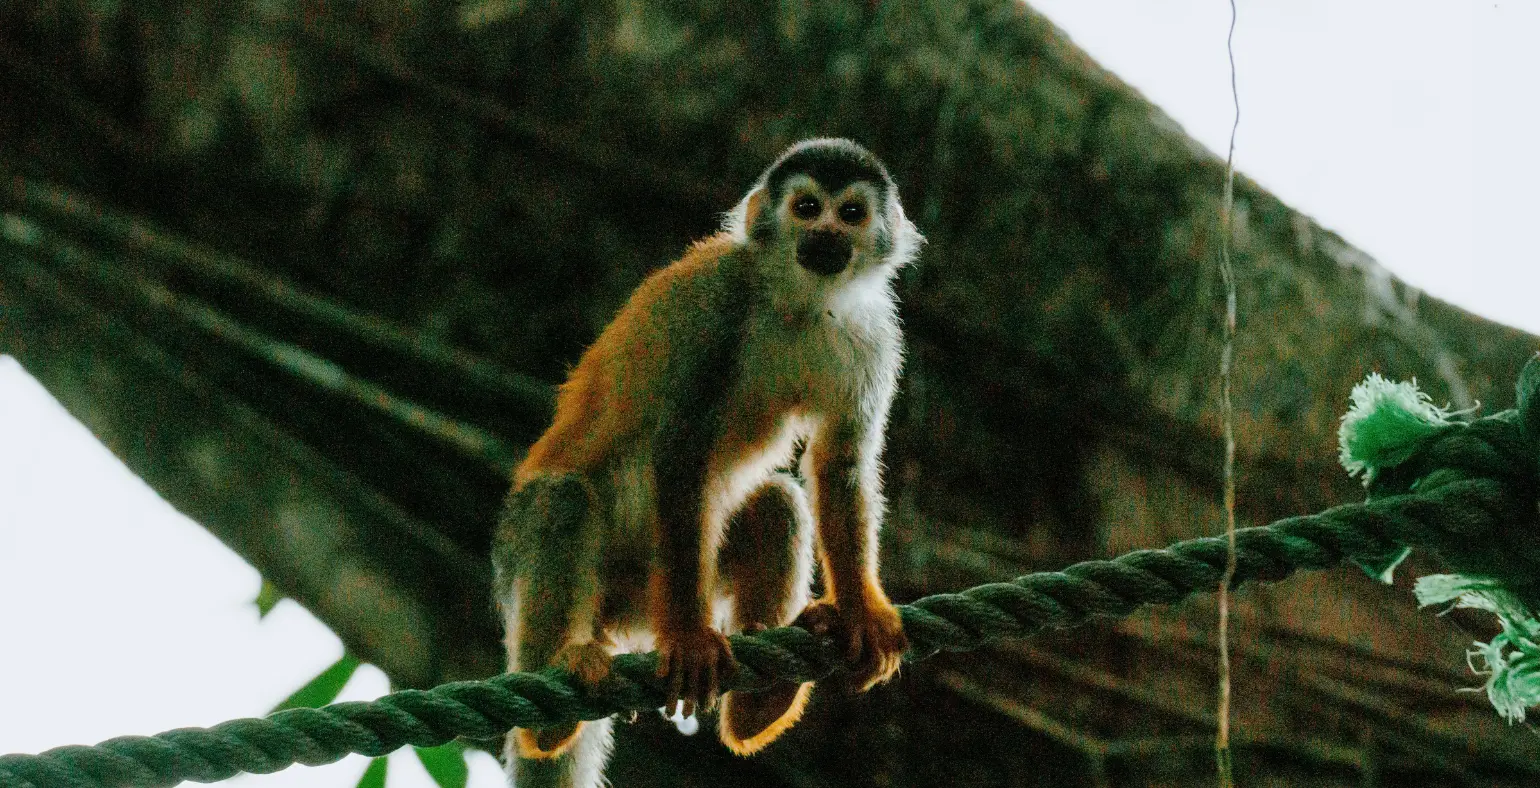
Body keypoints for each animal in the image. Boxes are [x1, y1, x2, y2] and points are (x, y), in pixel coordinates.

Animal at [492, 138, 923, 788]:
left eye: (850, 213)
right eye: (806, 207)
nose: (826, 235)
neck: (800, 300)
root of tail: (617, 624)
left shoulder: (873, 335)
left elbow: (841, 465)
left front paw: (861, 611)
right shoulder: (715, 304)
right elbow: (680, 452)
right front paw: (692, 638)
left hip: (643, 597)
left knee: (777, 504)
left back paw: (760, 706)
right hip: (538, 566)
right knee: (562, 501)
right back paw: (554, 703)